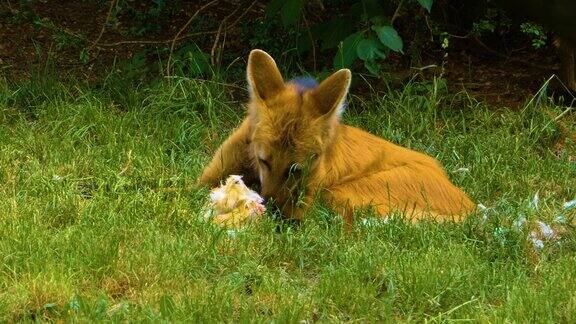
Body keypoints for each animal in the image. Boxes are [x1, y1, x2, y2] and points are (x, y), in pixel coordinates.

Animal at [196, 49, 474, 224]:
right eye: (265, 161)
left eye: (295, 169)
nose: (269, 205)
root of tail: (468, 205)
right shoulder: (209, 176)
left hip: (339, 193)